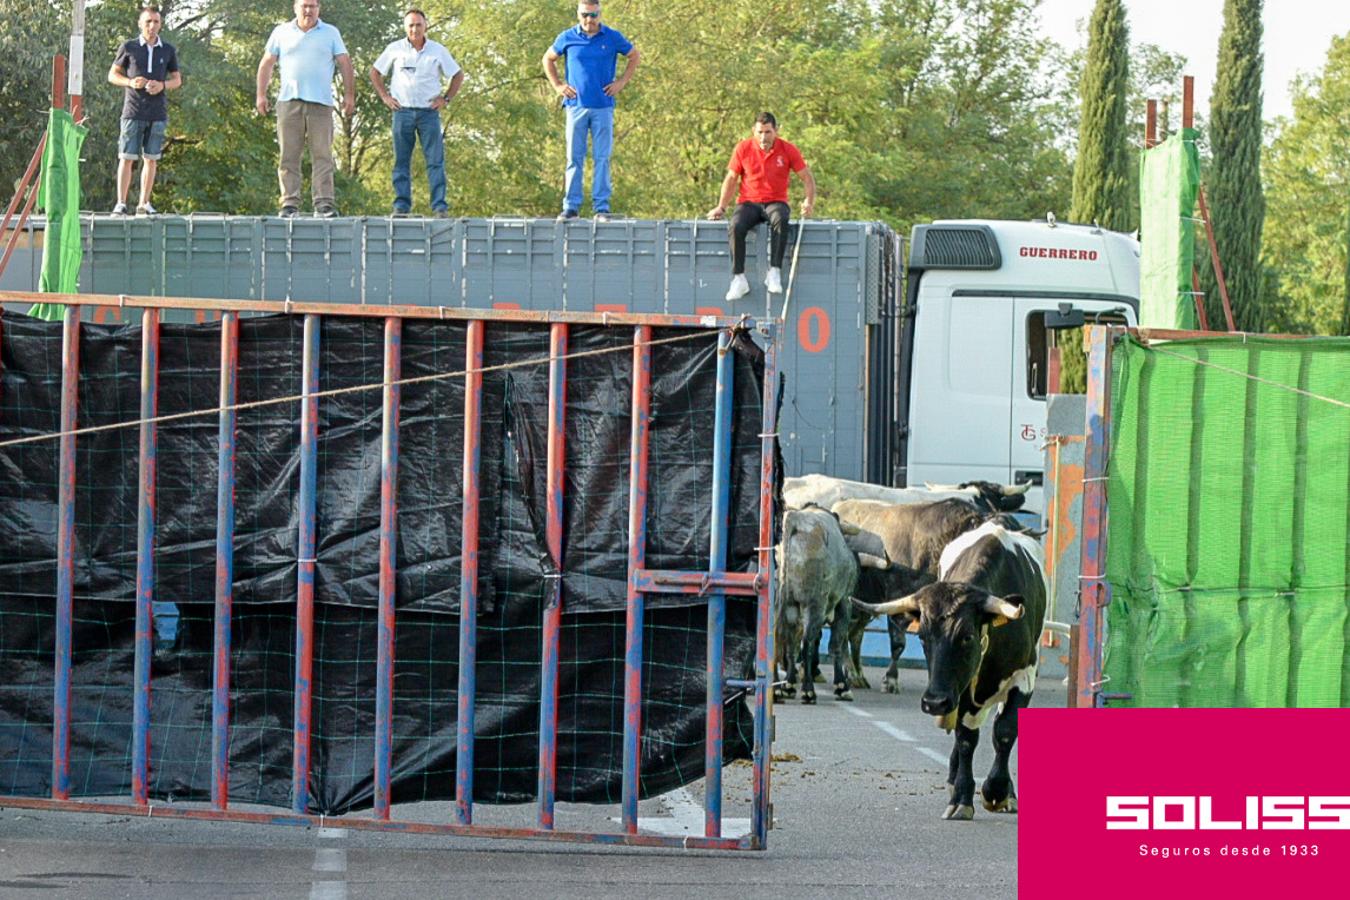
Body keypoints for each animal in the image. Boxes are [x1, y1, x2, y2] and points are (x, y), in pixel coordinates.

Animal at [777, 507, 891, 701]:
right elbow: (836, 644)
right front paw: (842, 686)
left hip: (790, 606)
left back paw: (788, 685)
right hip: (814, 605)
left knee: (791, 642)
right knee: (806, 643)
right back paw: (808, 690)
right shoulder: (844, 603)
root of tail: (795, 519)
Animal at [847, 520, 1047, 825]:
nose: (934, 702)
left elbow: (1004, 730)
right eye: (922, 637)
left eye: (966, 637)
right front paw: (962, 798)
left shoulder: (1023, 677)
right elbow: (966, 739)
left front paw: (997, 791)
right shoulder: (959, 690)